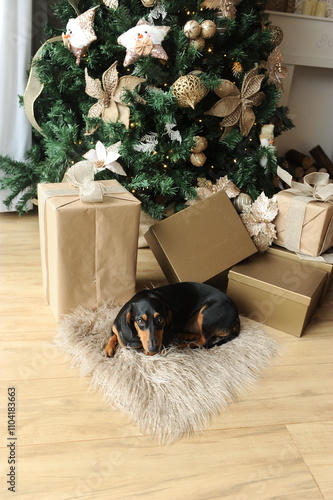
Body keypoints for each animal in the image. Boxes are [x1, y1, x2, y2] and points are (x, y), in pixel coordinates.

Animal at [104, 284, 239, 358]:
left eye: (160, 319)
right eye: (140, 320)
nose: (154, 348)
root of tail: (237, 316)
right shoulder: (115, 327)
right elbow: (113, 336)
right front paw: (108, 349)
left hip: (206, 314)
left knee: (204, 341)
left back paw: (184, 344)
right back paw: (186, 336)